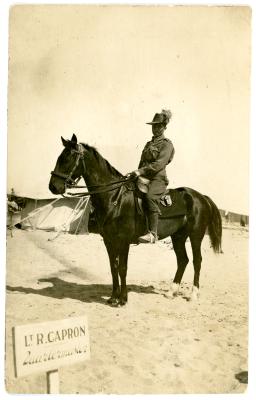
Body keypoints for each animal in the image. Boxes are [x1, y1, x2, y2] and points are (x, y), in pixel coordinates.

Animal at [49, 134, 221, 306]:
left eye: (68, 158)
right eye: (59, 157)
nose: (53, 187)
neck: (114, 197)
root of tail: (201, 197)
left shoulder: (123, 240)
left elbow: (122, 269)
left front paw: (123, 299)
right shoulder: (109, 240)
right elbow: (113, 267)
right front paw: (113, 297)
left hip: (195, 236)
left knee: (197, 261)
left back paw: (193, 294)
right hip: (178, 236)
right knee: (182, 260)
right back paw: (171, 292)